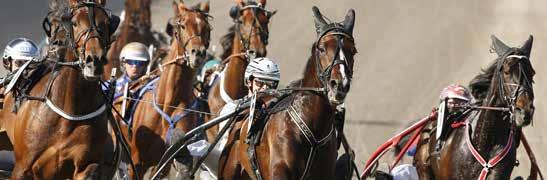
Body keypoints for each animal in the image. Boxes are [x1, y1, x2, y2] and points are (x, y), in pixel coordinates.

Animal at [127, 1, 212, 179]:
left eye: (207, 28)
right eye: (183, 26)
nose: (198, 53)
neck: (169, 101)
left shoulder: (164, 163)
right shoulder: (136, 161)